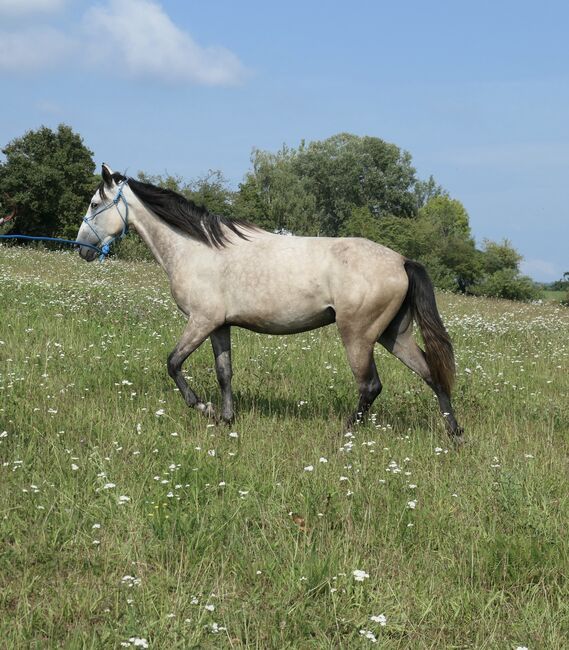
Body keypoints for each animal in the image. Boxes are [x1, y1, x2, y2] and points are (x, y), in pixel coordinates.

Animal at [75, 165, 464, 442]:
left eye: (95, 205)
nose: (82, 249)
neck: (197, 249)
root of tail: (402, 260)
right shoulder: (219, 325)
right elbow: (224, 372)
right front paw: (226, 419)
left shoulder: (201, 321)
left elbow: (173, 363)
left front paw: (203, 408)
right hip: (393, 335)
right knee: (432, 375)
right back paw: (455, 436)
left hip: (358, 335)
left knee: (370, 386)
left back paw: (342, 435)